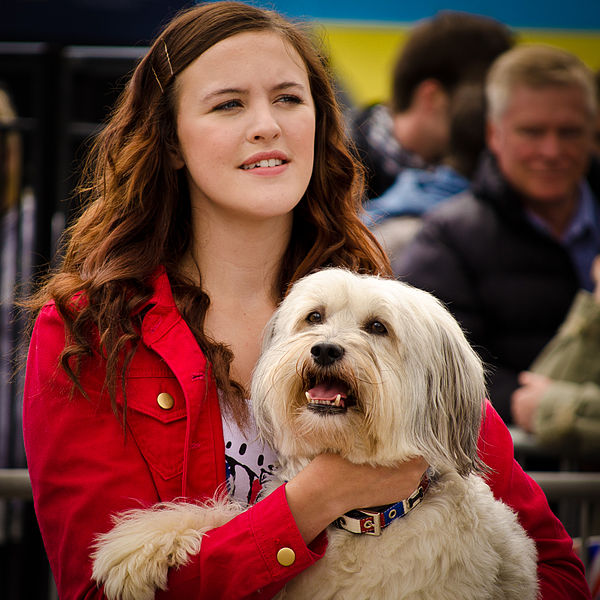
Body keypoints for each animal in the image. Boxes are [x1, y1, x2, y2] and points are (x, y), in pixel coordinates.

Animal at [94, 270, 540, 600]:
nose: (324, 350)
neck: (362, 520)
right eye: (314, 317)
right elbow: (235, 519)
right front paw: (139, 542)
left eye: (378, 327)